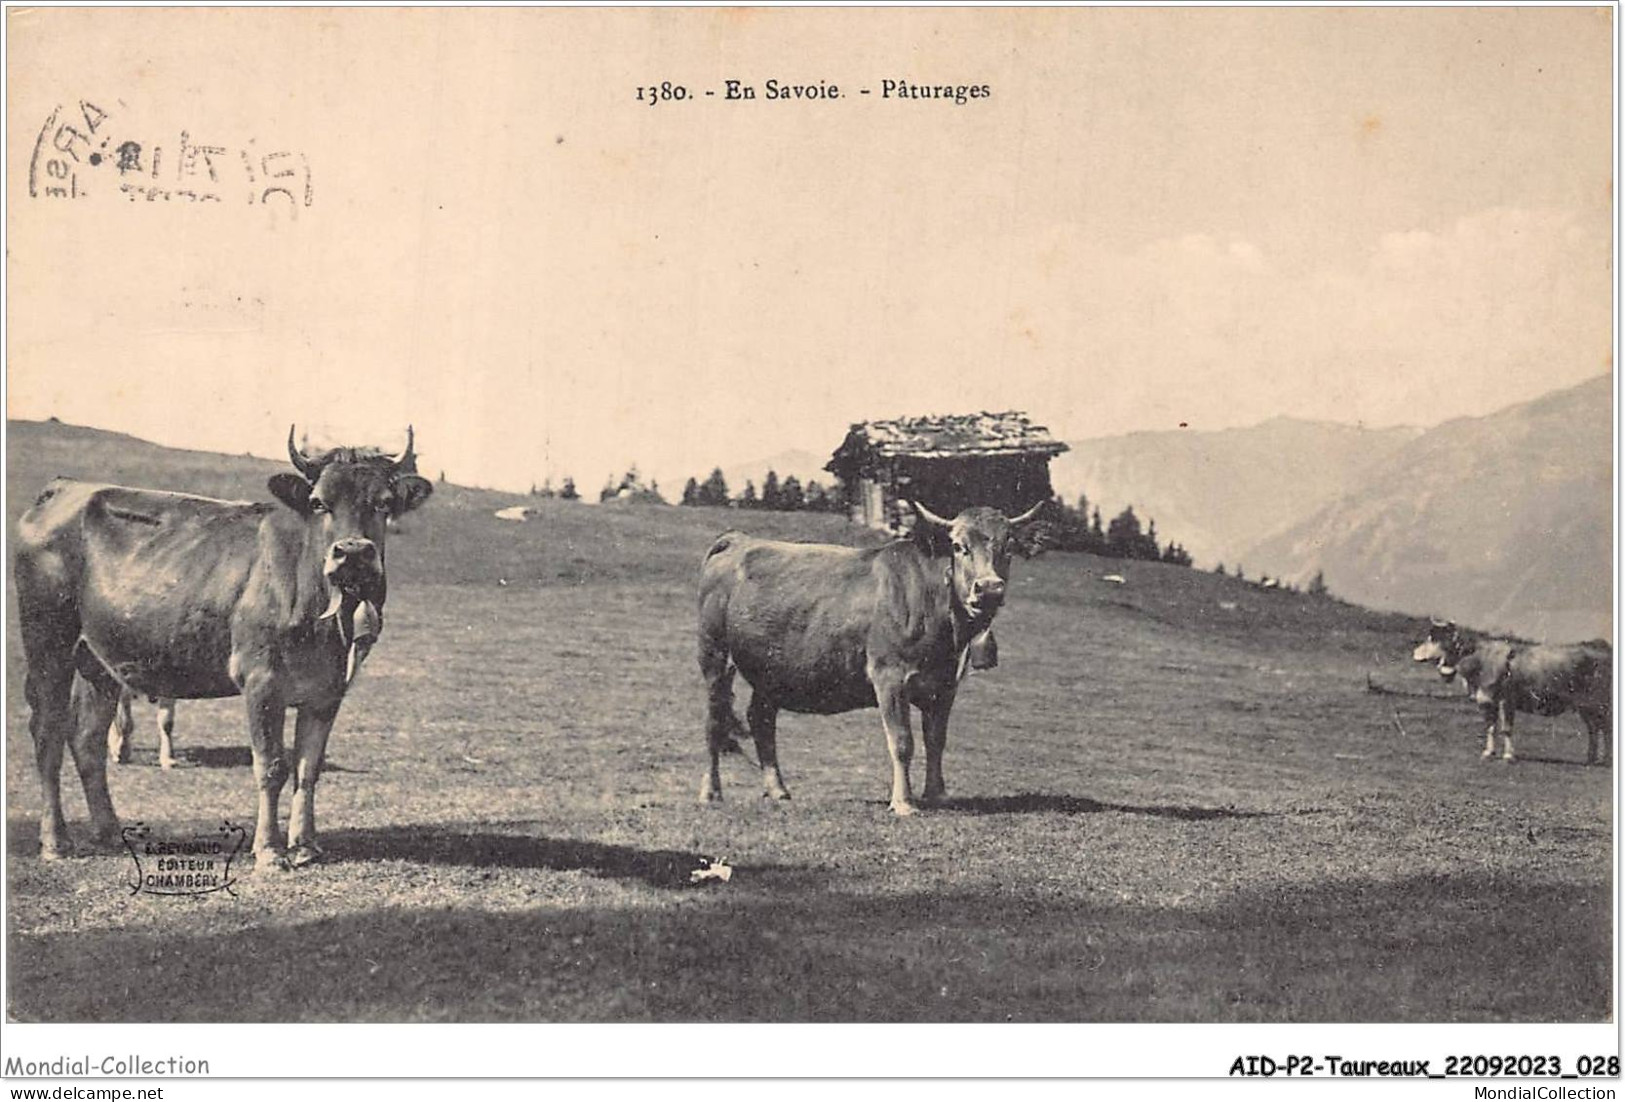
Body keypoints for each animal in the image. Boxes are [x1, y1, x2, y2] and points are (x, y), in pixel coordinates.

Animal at [15, 425, 432, 864]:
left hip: (98, 660)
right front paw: (269, 851)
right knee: (48, 732)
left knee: (86, 739)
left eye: (384, 503)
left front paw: (306, 845)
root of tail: (64, 487)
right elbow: (272, 766)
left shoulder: (328, 690)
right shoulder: (261, 680)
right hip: (48, 642)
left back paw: (108, 832)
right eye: (319, 503)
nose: (352, 552)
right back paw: (55, 841)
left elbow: (308, 768)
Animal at [698, 503, 1040, 815]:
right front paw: (903, 803)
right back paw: (711, 792)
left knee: (761, 719)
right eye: (958, 546)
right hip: (715, 655)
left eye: (1008, 545)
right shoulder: (889, 676)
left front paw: (937, 795)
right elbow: (902, 742)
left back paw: (777, 790)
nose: (989, 588)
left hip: (770, 669)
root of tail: (738, 539)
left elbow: (936, 741)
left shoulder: (945, 685)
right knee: (715, 722)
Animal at [1410, 620, 1612, 767]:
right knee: (1594, 729)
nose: (1414, 653)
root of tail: (1600, 645)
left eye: (1434, 639)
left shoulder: (1506, 700)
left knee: (1606, 728)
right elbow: (1490, 727)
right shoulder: (1486, 700)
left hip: (1599, 703)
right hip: (1586, 707)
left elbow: (1506, 729)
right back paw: (1591, 759)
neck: (1481, 660)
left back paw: (1606, 760)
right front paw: (1488, 753)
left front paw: (1508, 756)